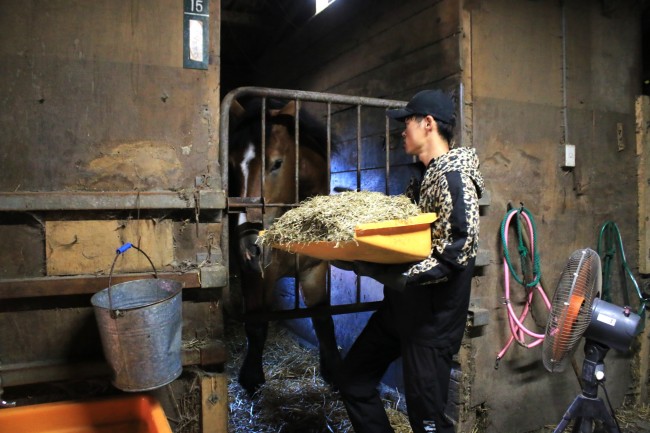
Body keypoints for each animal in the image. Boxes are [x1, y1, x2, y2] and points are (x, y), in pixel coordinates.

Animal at [227, 98, 340, 394]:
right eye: (232, 165)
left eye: (276, 163)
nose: (249, 245)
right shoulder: (257, 275)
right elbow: (256, 325)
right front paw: (251, 378)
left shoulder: (314, 269)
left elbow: (323, 318)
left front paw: (334, 371)